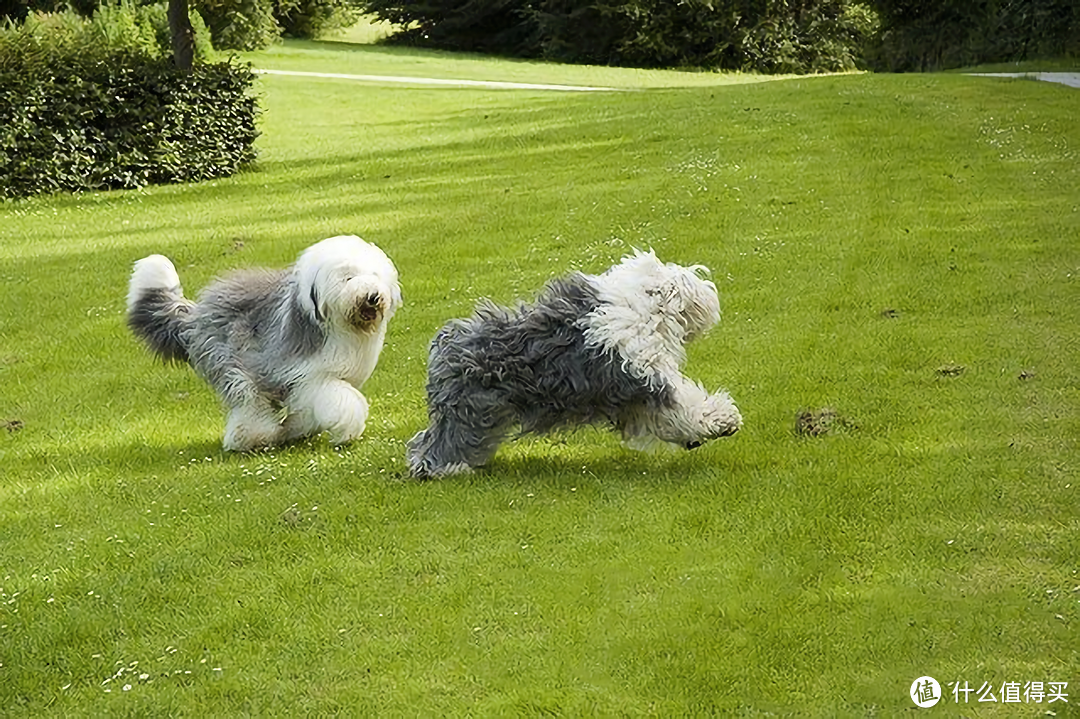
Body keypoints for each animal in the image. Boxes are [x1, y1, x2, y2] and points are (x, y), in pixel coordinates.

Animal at [126, 234, 403, 449]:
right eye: (348, 277)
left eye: (374, 274)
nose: (373, 296)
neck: (340, 323)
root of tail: (194, 315)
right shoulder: (310, 377)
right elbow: (342, 401)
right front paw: (347, 430)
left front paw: (296, 429)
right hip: (230, 362)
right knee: (248, 400)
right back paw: (251, 437)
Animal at [406, 249, 743, 479]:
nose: (708, 286)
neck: (639, 308)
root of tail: (444, 344)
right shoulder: (646, 377)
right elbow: (686, 403)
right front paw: (724, 419)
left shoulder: (637, 400)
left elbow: (667, 419)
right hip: (468, 414)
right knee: (434, 446)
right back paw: (446, 469)